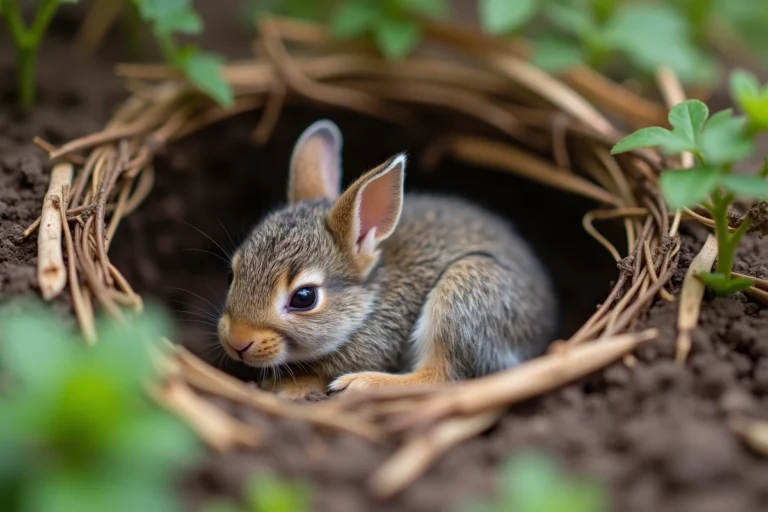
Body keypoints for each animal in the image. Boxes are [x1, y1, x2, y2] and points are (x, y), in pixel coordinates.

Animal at [216, 119, 558, 399]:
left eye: (304, 297)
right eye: (232, 276)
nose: (237, 342)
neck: (370, 302)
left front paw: (289, 386)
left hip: (466, 291)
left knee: (442, 377)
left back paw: (361, 384)